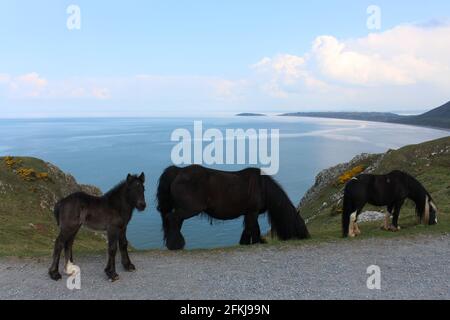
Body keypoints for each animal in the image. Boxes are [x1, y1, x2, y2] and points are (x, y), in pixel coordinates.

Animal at [156, 165, 310, 250]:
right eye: (300, 223)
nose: (307, 237)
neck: (263, 187)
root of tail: (178, 171)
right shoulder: (253, 212)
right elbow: (254, 229)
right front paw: (258, 242)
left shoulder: (248, 213)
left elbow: (248, 229)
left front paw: (245, 243)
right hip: (190, 209)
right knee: (173, 219)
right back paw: (176, 245)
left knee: (175, 221)